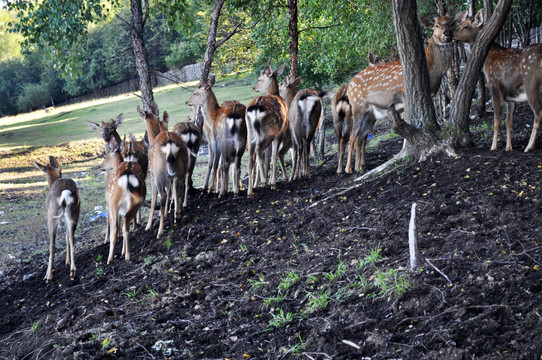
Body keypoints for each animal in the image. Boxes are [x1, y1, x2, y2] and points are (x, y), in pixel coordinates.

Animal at [249, 64, 292, 197]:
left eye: (259, 79)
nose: (254, 87)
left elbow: (268, 156)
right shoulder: (279, 133)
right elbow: (274, 155)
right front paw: (272, 182)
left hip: (250, 132)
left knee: (252, 155)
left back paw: (251, 190)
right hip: (268, 132)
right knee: (258, 150)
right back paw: (264, 181)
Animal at [348, 10, 468, 173]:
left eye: (451, 23)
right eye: (436, 25)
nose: (447, 33)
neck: (431, 69)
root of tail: (348, 87)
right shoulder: (404, 94)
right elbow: (408, 123)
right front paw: (407, 149)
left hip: (370, 113)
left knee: (361, 137)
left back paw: (360, 167)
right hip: (357, 106)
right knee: (352, 136)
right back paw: (348, 169)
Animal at [456, 9, 540, 150]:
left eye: (466, 26)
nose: (450, 34)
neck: (486, 63)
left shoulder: (494, 87)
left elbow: (496, 121)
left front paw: (493, 146)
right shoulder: (510, 97)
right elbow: (508, 122)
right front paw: (508, 148)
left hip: (531, 85)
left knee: (538, 113)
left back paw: (529, 147)